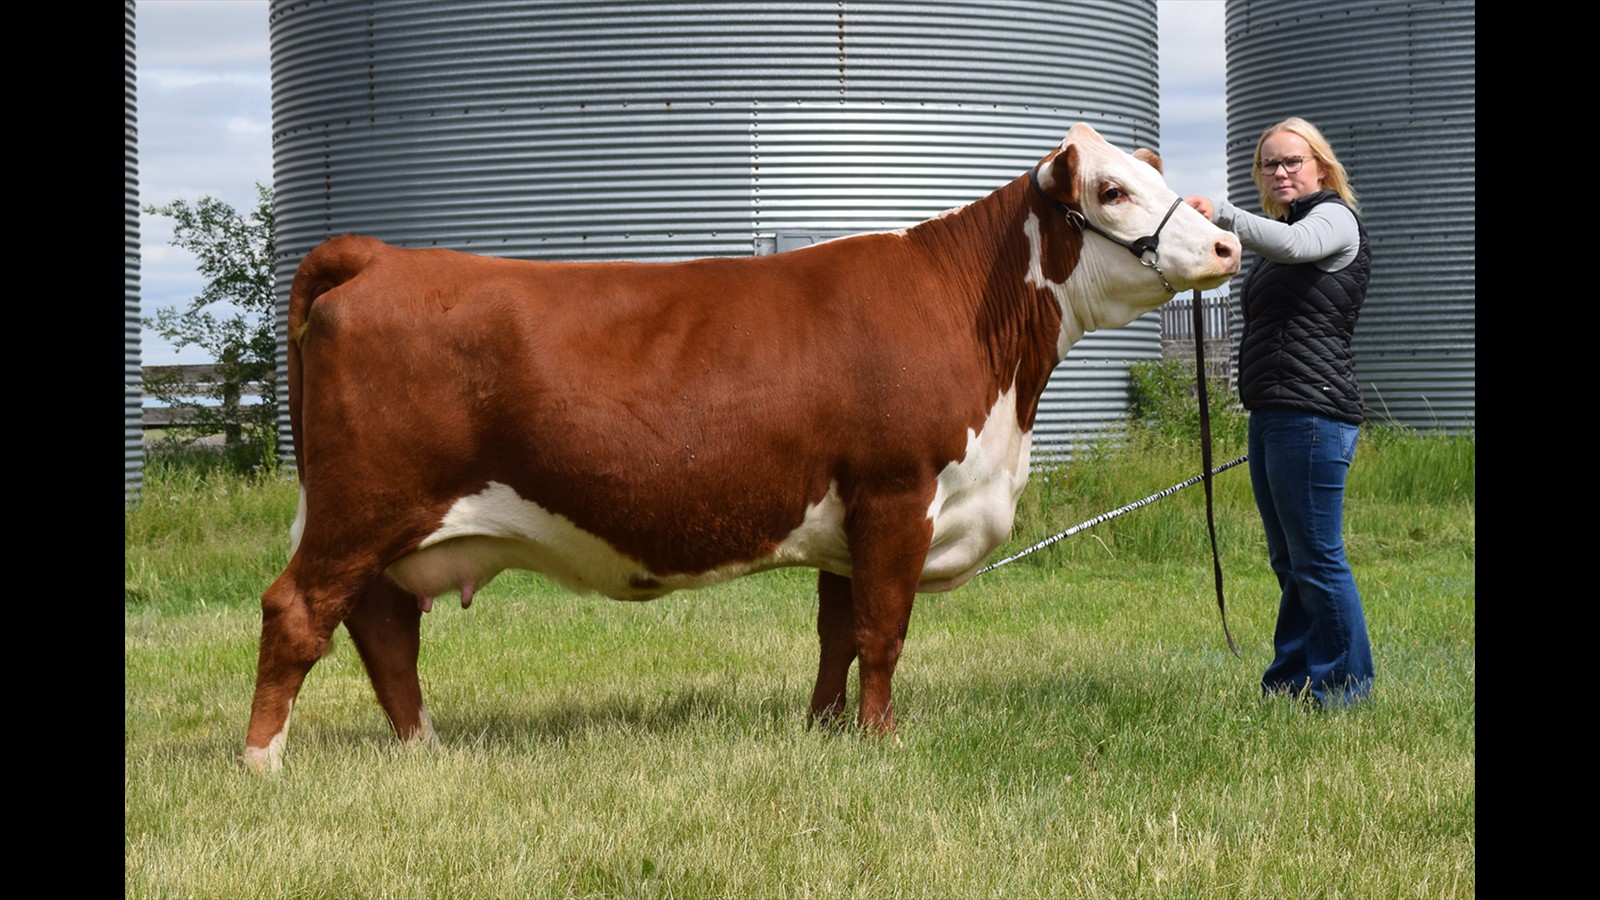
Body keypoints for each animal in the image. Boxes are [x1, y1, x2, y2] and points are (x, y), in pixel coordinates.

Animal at [242, 122, 1239, 771]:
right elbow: (883, 630)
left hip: (384, 520)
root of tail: (385, 256)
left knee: (381, 627)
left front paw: (825, 732)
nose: (1227, 246)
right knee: (299, 611)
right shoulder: (896, 491)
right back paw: (262, 762)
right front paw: (881, 742)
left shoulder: (849, 517)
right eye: (1112, 191)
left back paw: (425, 749)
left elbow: (838, 633)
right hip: (363, 503)